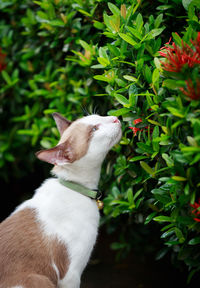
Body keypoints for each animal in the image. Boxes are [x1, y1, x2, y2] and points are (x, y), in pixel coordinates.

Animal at [0, 113, 122, 288]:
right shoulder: (70, 275)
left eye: (99, 116)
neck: (76, 188)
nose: (115, 118)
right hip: (40, 279)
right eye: (94, 129)